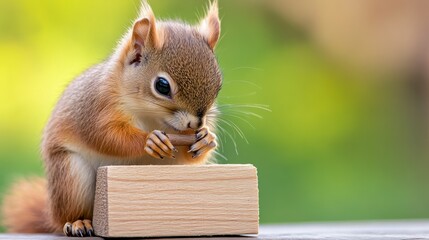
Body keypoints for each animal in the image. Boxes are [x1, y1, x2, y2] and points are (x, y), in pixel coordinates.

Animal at [3, 0, 222, 236]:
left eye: (219, 85)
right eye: (162, 86)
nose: (197, 123)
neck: (151, 116)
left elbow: (186, 158)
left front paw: (206, 139)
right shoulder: (96, 107)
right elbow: (106, 137)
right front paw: (151, 140)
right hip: (71, 177)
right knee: (67, 216)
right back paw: (78, 222)